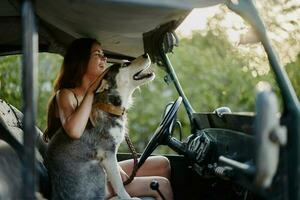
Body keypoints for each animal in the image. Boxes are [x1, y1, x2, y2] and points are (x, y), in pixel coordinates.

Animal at [47, 54, 155, 199]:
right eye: (125, 64)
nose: (146, 54)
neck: (110, 106)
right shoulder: (108, 154)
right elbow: (119, 185)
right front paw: (127, 197)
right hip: (97, 169)